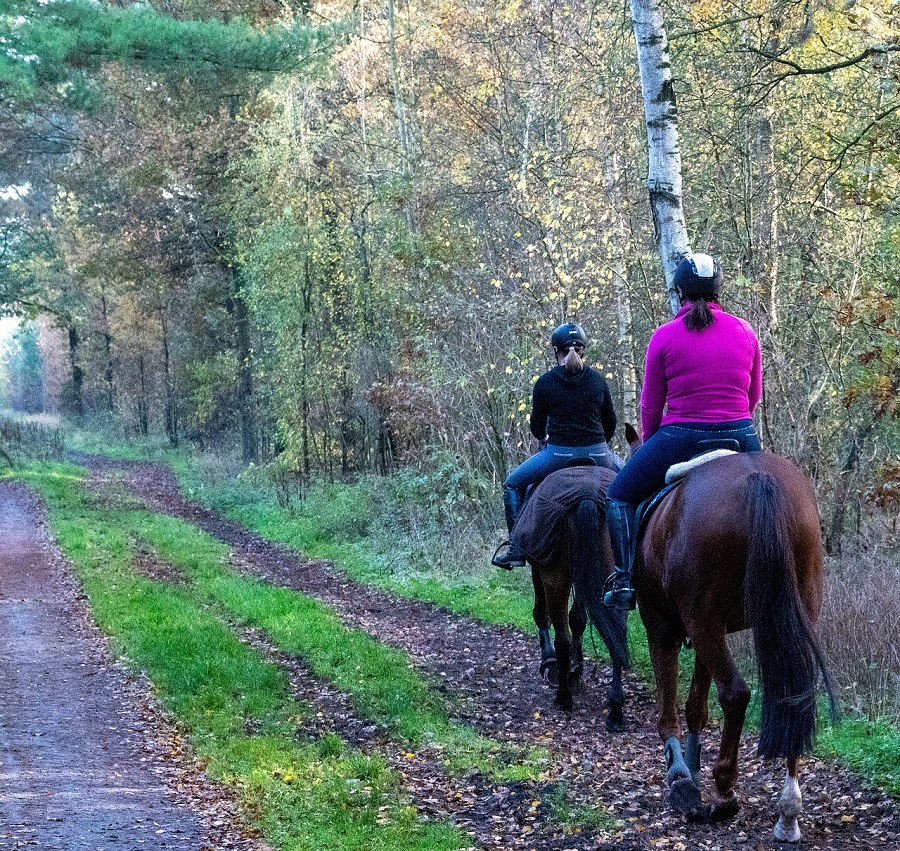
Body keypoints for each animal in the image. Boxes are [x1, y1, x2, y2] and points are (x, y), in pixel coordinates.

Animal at [524, 472, 628, 724]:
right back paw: (616, 708)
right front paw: (577, 670)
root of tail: (587, 497)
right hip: (613, 574)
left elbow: (542, 614)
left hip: (555, 574)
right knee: (617, 631)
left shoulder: (538, 564)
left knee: (562, 638)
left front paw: (550, 663)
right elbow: (579, 619)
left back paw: (563, 697)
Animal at [636, 450, 832, 844]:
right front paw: (691, 766)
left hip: (702, 617)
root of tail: (759, 477)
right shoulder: (705, 631)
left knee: (735, 693)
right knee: (795, 697)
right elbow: (696, 704)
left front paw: (681, 776)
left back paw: (725, 788)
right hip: (794, 605)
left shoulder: (662, 625)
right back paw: (788, 813)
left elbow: (669, 706)